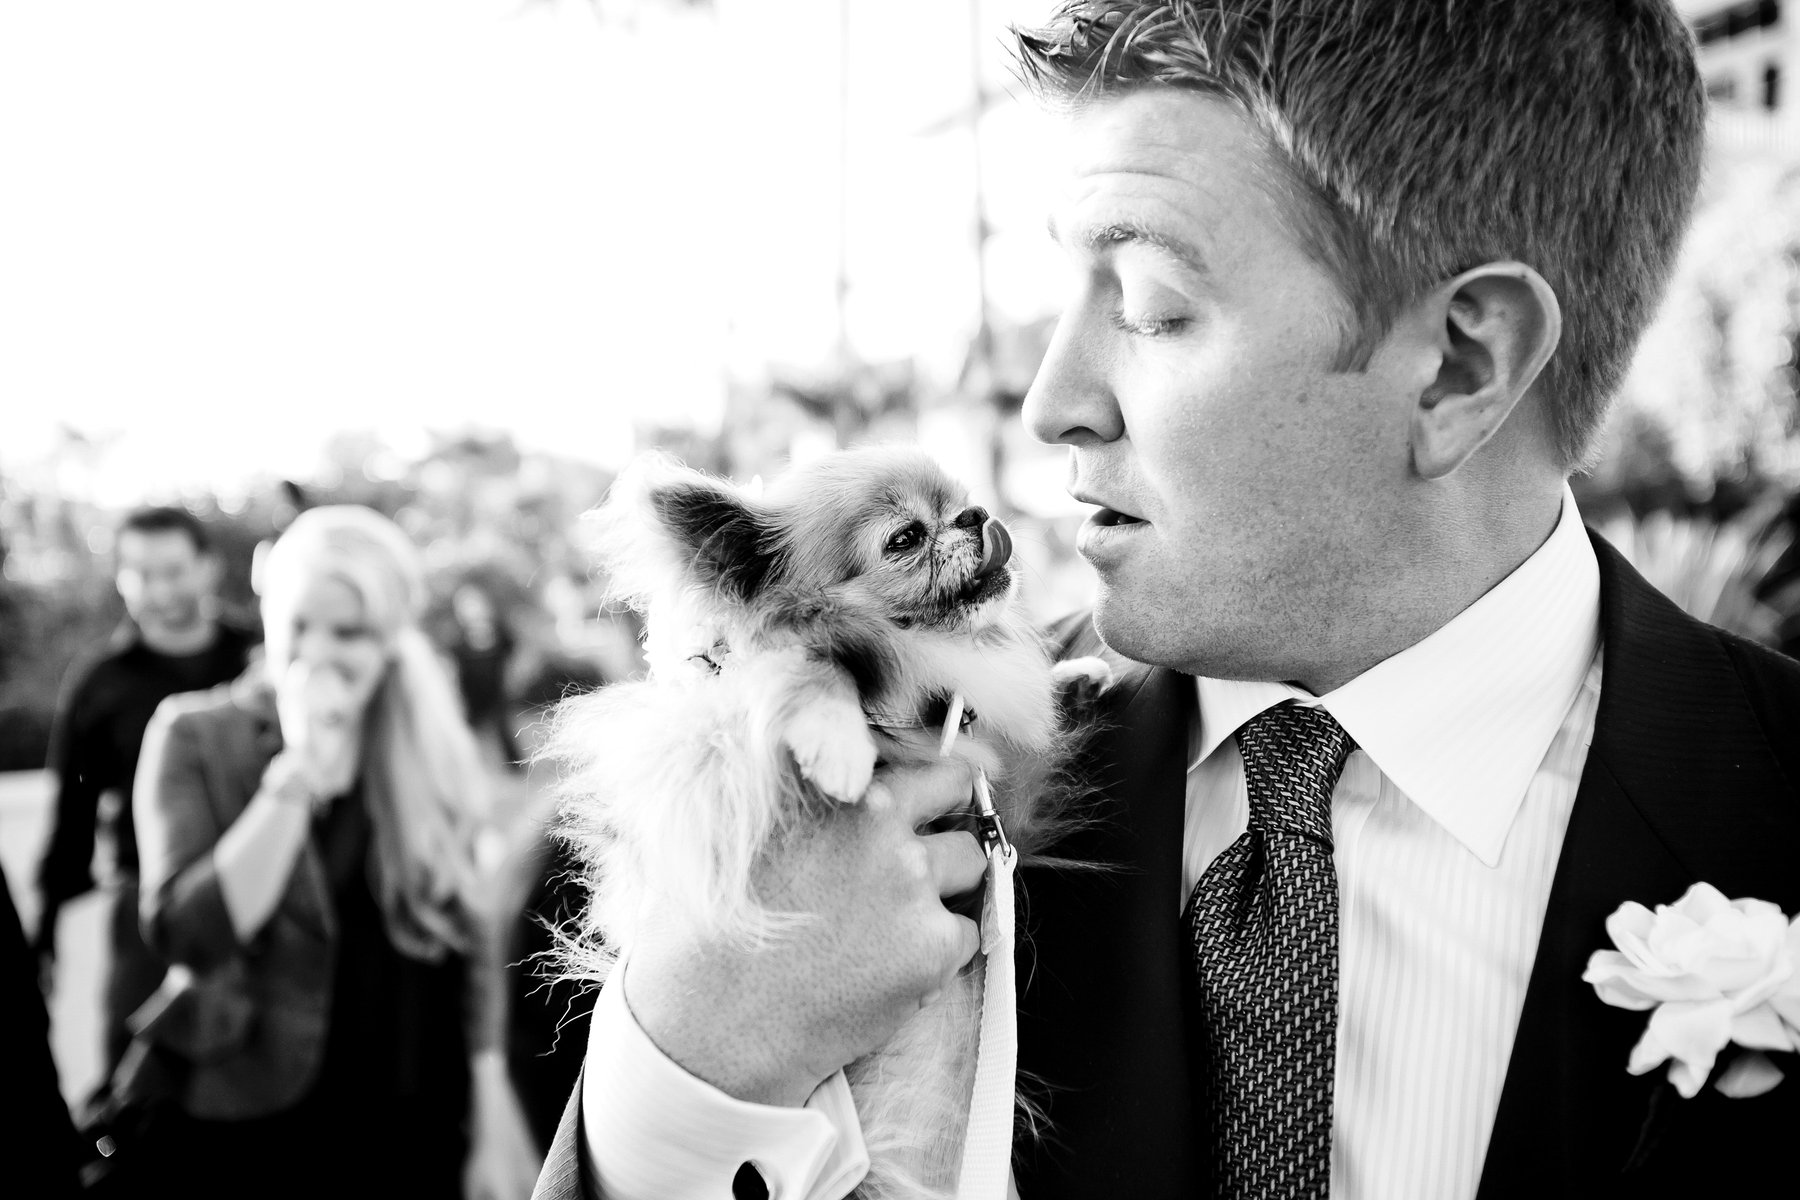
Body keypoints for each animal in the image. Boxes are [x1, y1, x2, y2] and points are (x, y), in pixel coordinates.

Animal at [540, 443, 1109, 1198]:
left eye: (962, 501)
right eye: (905, 538)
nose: (976, 515)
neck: (911, 684)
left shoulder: (989, 796)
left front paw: (1073, 677)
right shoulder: (710, 752)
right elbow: (805, 667)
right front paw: (835, 740)